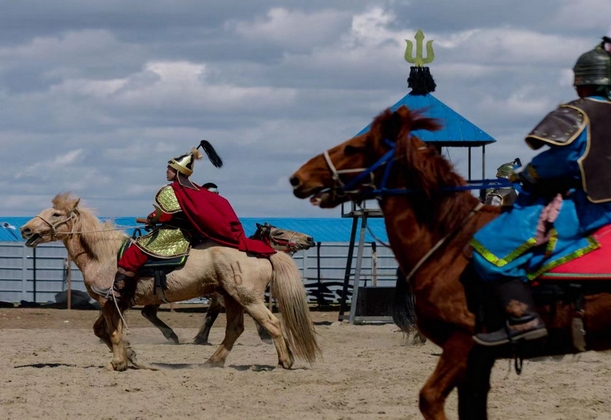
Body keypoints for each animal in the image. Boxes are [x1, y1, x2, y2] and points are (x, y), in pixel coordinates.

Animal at [140, 223, 316, 344]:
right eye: (279, 232)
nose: (310, 238)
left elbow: (211, 316)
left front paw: (201, 338)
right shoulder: (227, 296)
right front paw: (266, 336)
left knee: (148, 313)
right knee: (147, 312)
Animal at [290, 104, 611, 420]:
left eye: (353, 148)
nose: (298, 178)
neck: (451, 242)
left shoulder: (463, 344)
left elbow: (430, 398)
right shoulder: (478, 359)